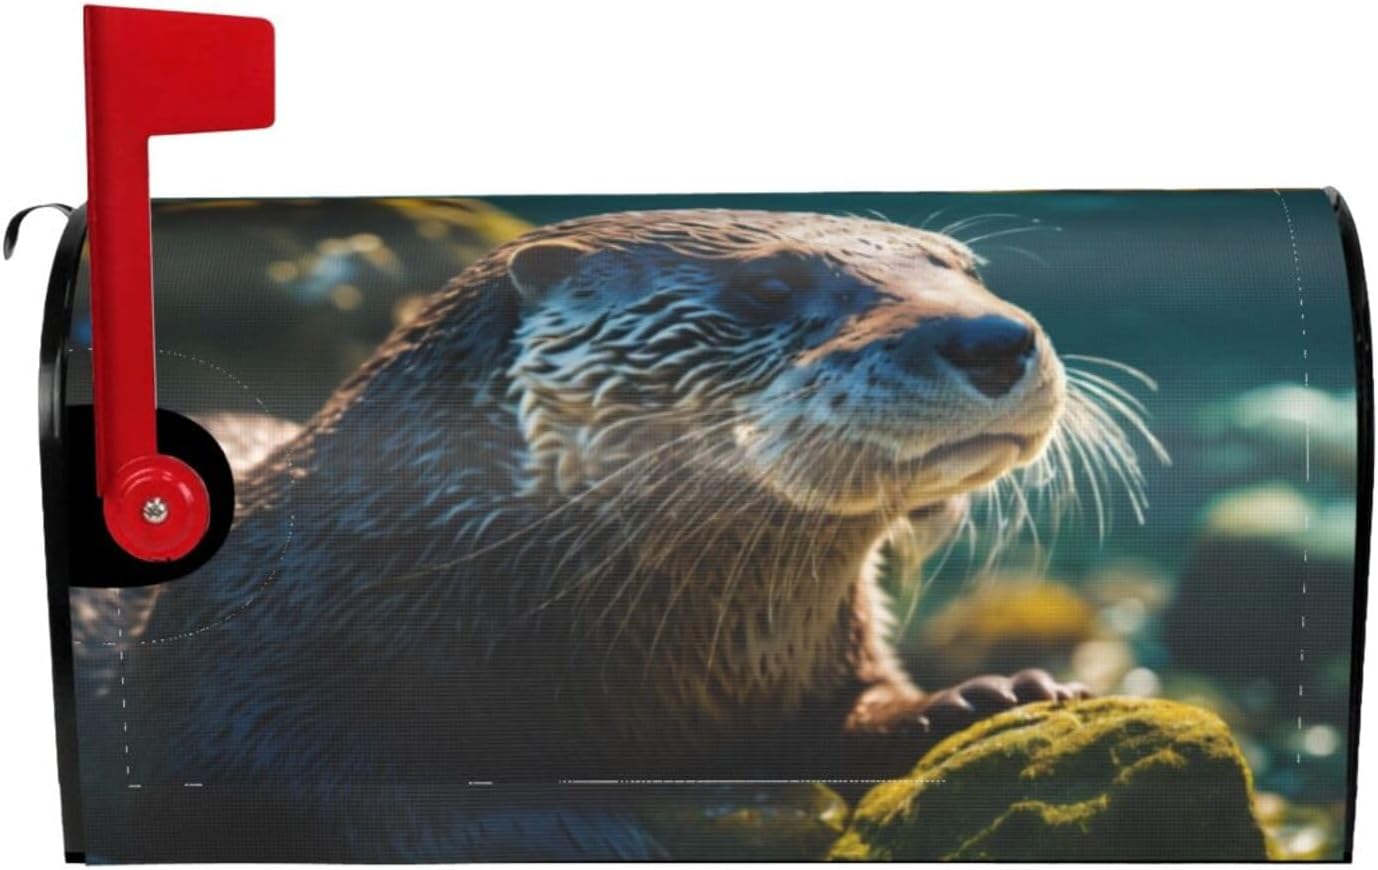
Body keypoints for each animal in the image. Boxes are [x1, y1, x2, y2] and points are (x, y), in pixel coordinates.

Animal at [75, 209, 1111, 861]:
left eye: (963, 270)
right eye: (769, 284)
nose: (993, 336)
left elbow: (851, 715)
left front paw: (987, 696)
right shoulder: (246, 686)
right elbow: (339, 793)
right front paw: (578, 830)